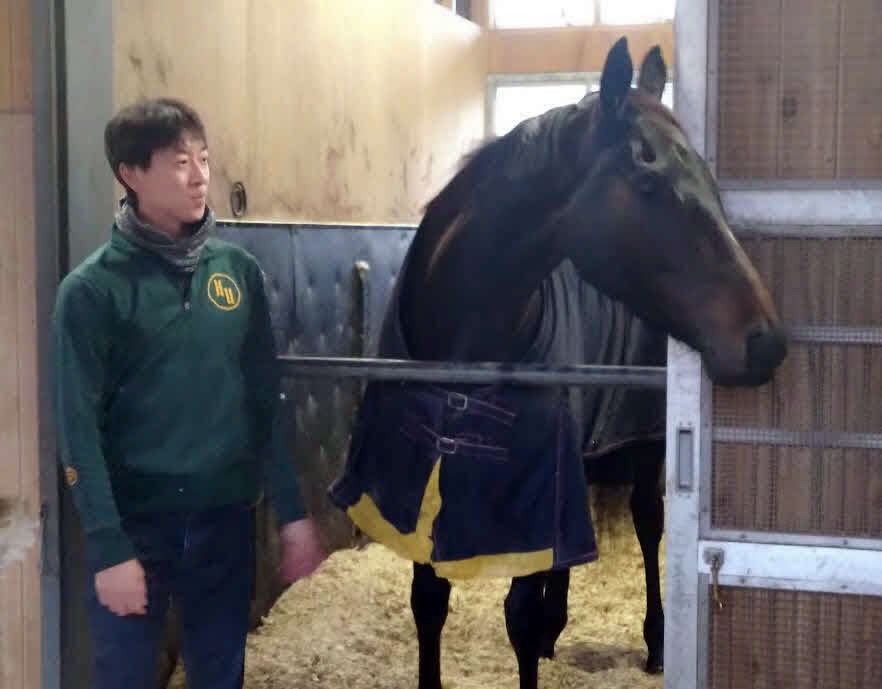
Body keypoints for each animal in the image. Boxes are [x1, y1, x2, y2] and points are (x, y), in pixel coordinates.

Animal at [329, 38, 787, 689]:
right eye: (650, 182)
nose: (766, 341)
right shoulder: (417, 482)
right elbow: (430, 603)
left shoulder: (530, 477)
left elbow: (518, 614)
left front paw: (542, 628)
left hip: (644, 438)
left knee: (647, 522)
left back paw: (654, 639)